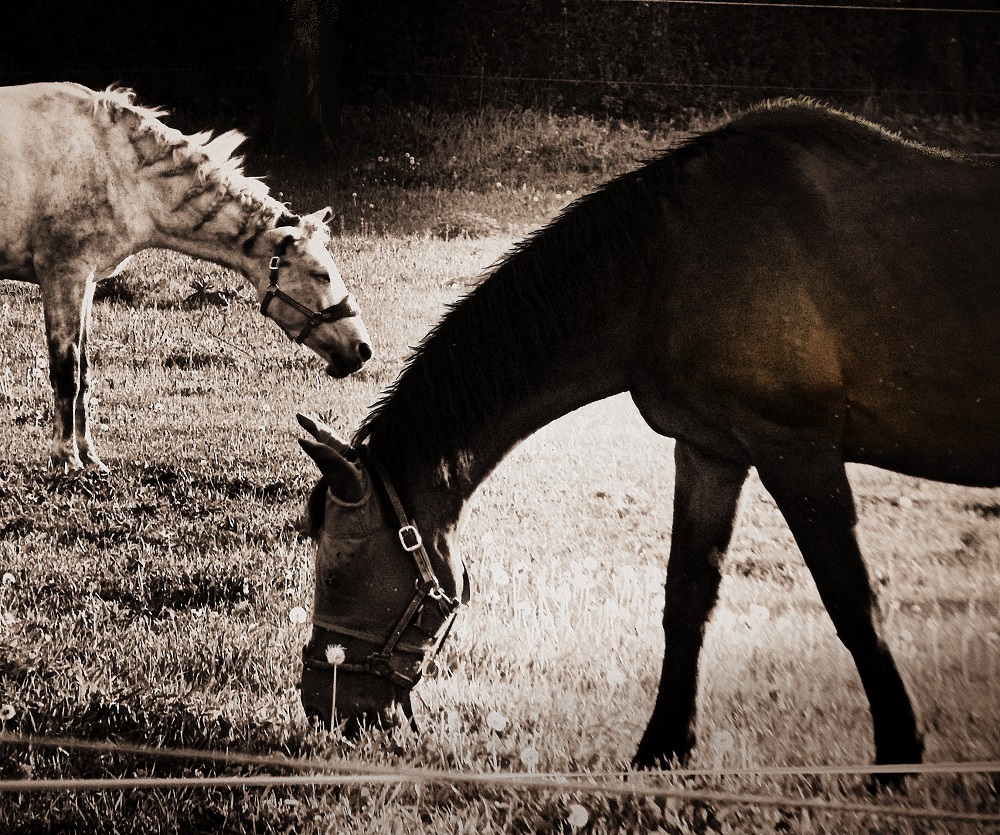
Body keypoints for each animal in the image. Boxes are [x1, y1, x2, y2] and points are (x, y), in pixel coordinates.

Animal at [0, 83, 374, 470]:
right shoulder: (64, 278)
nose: (362, 349)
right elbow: (67, 374)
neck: (114, 165)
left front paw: (90, 456)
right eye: (321, 274)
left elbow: (85, 374)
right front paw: (67, 458)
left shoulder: (86, 284)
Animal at [292, 99, 996, 772]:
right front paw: (662, 747)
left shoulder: (797, 451)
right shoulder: (712, 450)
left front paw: (899, 755)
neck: (668, 264)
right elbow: (686, 600)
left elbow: (853, 607)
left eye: (339, 573)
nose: (322, 703)